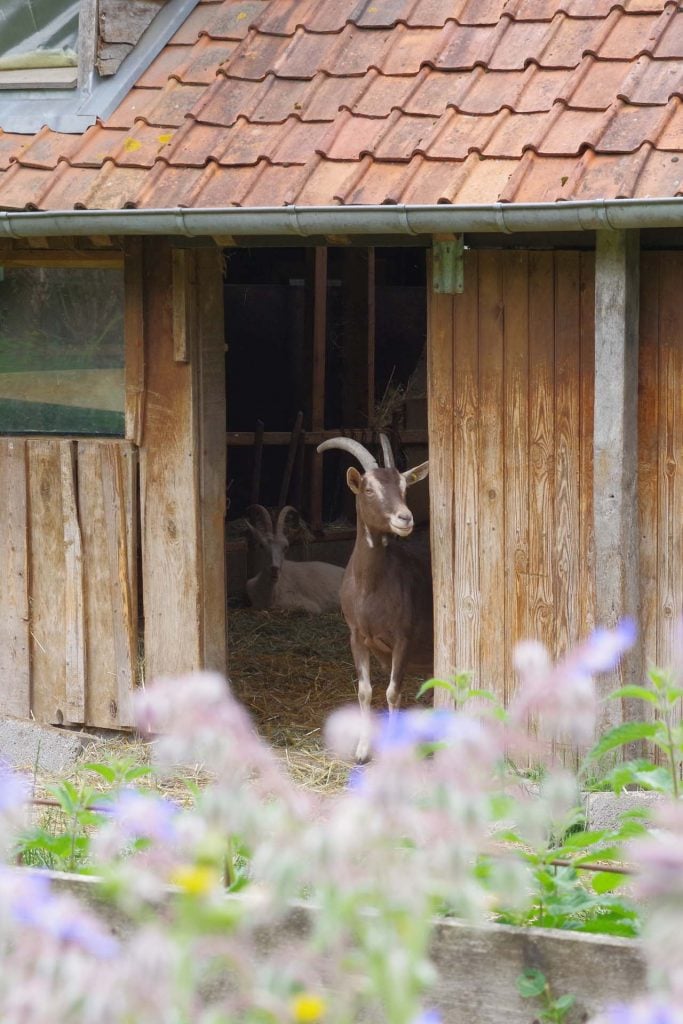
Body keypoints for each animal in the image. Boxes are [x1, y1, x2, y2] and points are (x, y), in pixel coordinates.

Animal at [317, 432, 432, 761]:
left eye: (405, 487)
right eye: (369, 488)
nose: (404, 518)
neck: (370, 590)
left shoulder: (404, 637)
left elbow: (393, 692)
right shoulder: (356, 635)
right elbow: (365, 691)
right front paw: (362, 750)